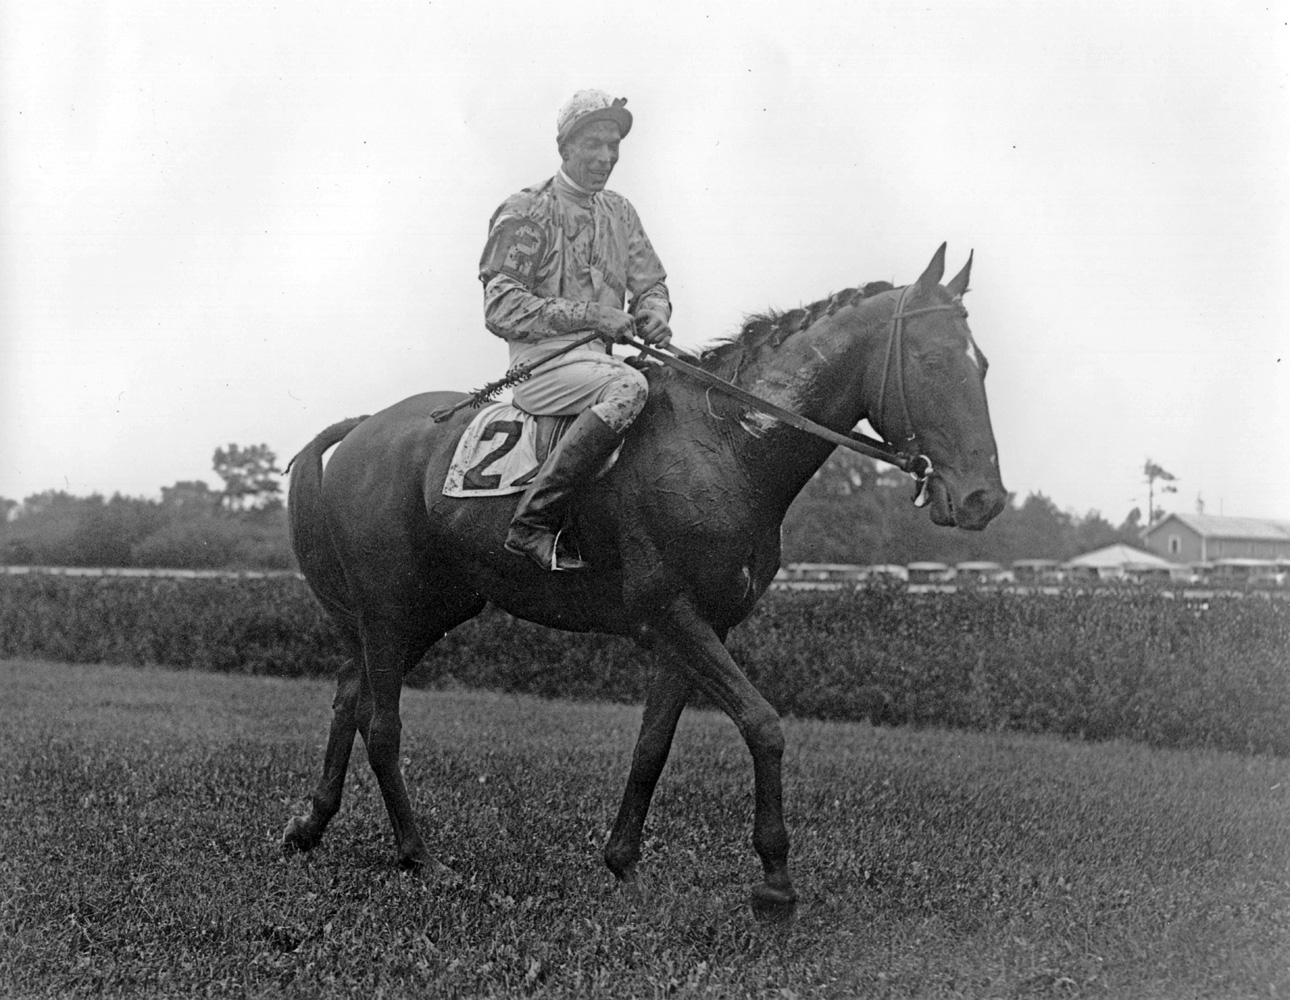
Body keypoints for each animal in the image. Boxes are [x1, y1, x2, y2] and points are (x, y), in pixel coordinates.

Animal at [282, 242, 1006, 913]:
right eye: (933, 362)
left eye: (983, 365)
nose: (983, 499)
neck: (729, 445)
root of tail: (367, 425)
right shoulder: (673, 612)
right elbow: (763, 723)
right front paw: (775, 881)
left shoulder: (696, 629)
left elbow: (652, 746)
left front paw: (623, 862)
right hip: (390, 608)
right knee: (382, 725)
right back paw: (418, 855)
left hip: (429, 609)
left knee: (350, 696)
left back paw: (311, 825)